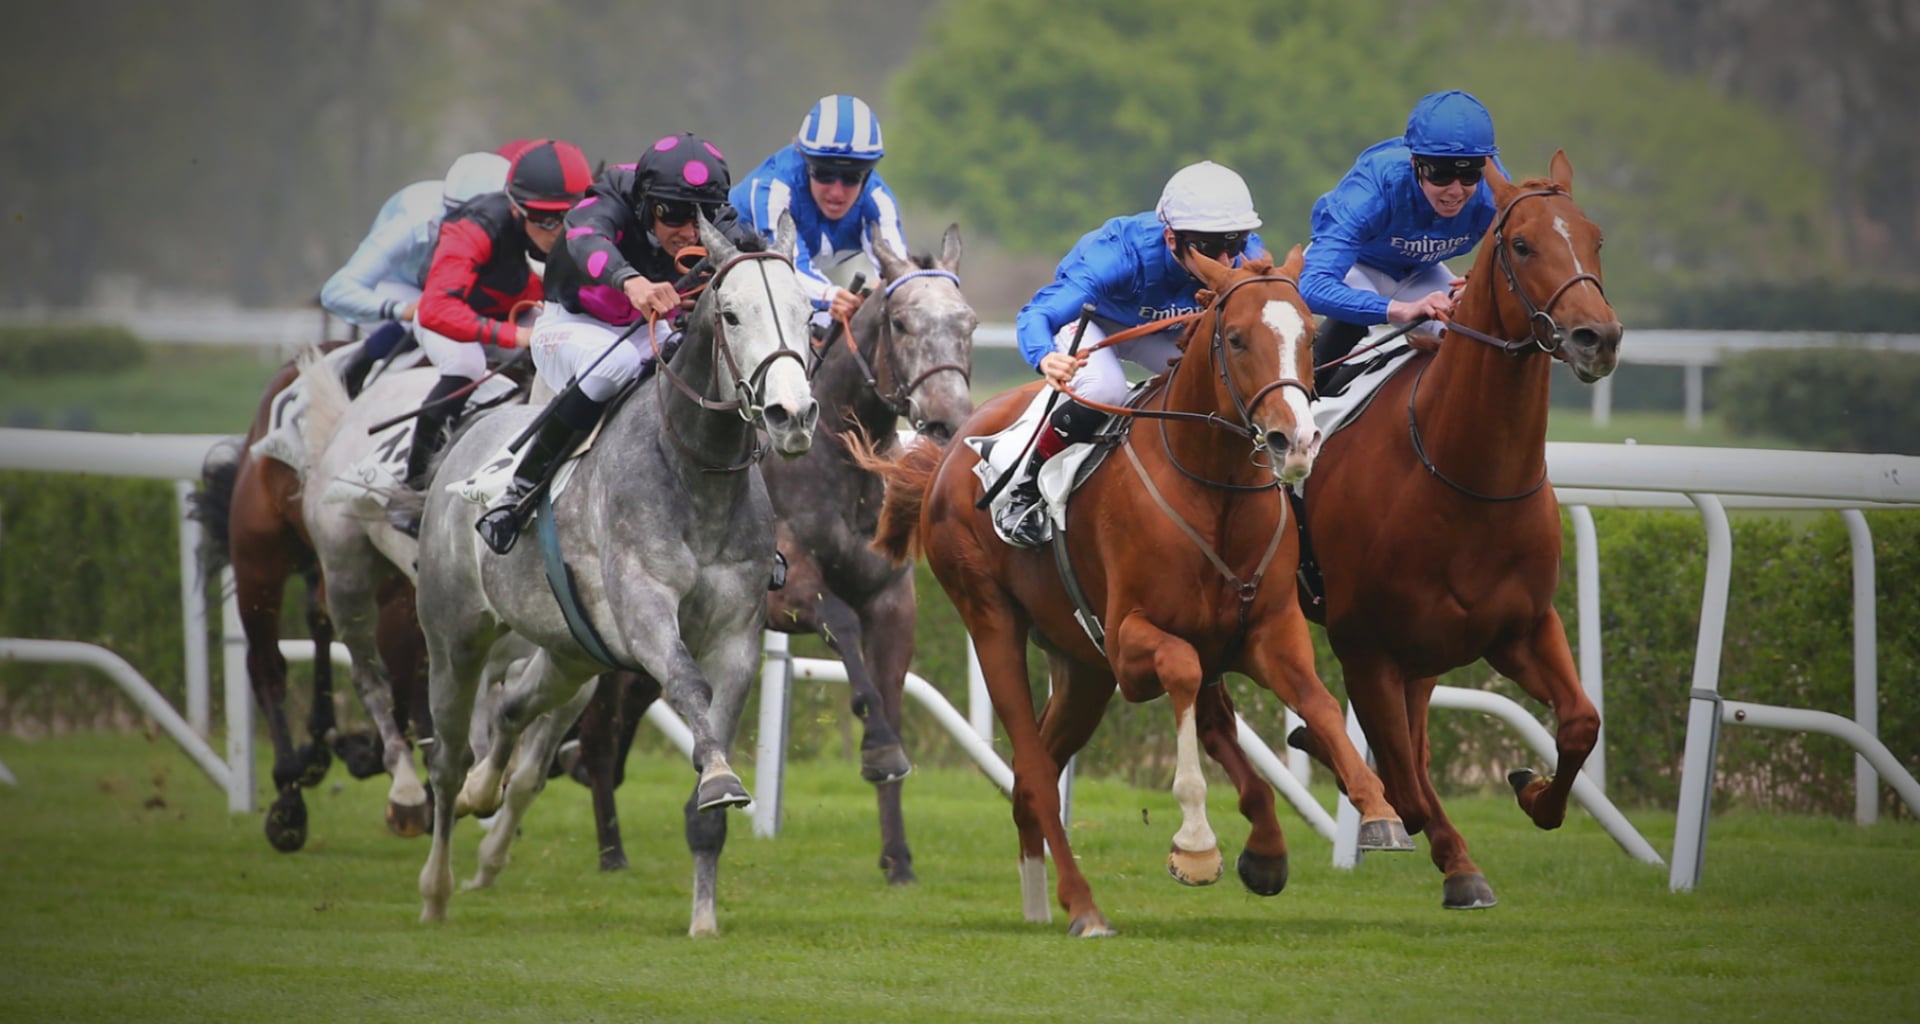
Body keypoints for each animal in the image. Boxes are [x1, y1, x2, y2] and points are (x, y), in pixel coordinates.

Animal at [412, 215, 817, 933]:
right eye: (732, 314)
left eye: (808, 314)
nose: (791, 416)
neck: (696, 474)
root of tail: (471, 431)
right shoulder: (646, 607)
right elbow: (686, 683)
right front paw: (719, 779)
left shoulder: (736, 636)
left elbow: (710, 766)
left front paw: (704, 919)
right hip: (454, 640)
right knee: (448, 757)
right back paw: (436, 888)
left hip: (573, 652)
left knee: (513, 709)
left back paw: (485, 794)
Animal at [856, 247, 1413, 933]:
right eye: (1236, 338)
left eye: (1309, 335)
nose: (1297, 440)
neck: (1214, 490)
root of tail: (950, 450)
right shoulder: (1130, 646)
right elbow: (1181, 673)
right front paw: (1197, 845)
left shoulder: (1264, 632)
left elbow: (1319, 703)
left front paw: (1377, 812)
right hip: (994, 625)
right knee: (1034, 768)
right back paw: (1083, 905)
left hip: (1081, 669)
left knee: (1041, 772)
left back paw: (1046, 899)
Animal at [1290, 147, 1620, 906]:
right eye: (1522, 244)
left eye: (1596, 239)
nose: (1598, 337)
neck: (1468, 483)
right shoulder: (1364, 646)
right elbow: (1408, 788)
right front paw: (1458, 864)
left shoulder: (1522, 627)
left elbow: (1580, 722)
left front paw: (1532, 791)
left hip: (1425, 653)